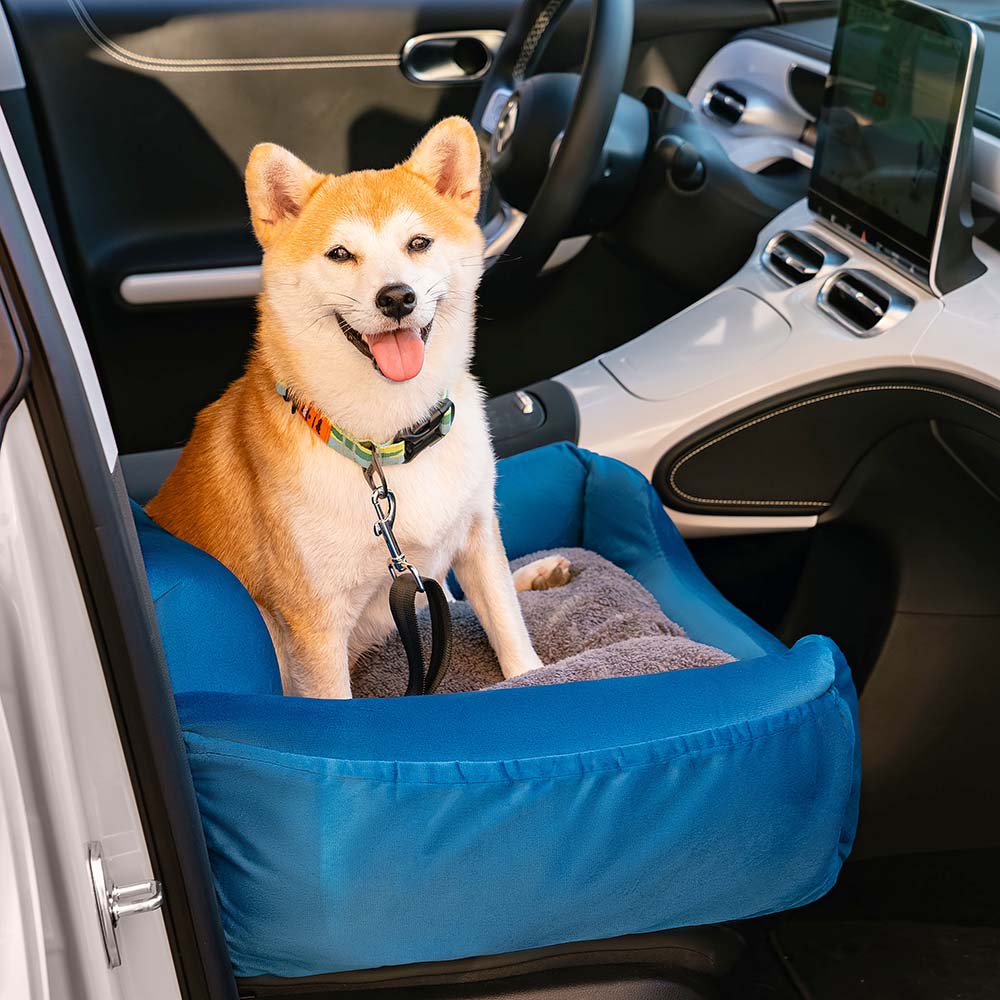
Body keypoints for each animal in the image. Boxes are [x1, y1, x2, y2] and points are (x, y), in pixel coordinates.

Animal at [148, 117, 572, 696]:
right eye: (340, 254)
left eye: (419, 243)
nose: (396, 297)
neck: (387, 438)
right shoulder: (316, 625)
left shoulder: (477, 536)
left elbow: (507, 623)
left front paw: (529, 673)